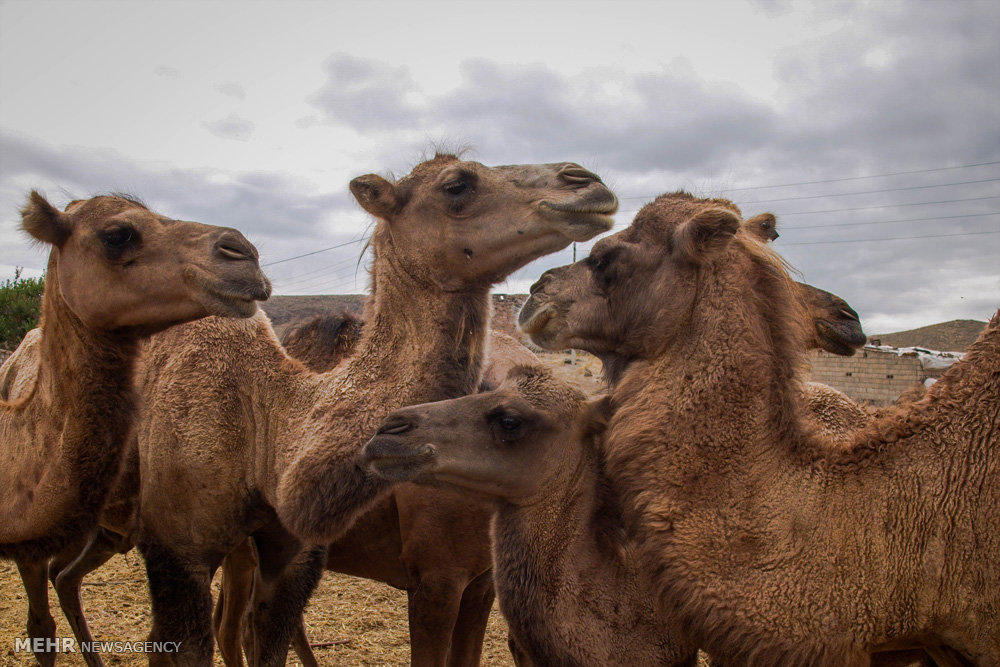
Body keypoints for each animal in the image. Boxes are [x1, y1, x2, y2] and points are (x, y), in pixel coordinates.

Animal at [0, 192, 270, 667]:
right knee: (42, 617)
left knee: (64, 577)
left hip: (104, 530)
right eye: (117, 235)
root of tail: (13, 362)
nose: (243, 252)